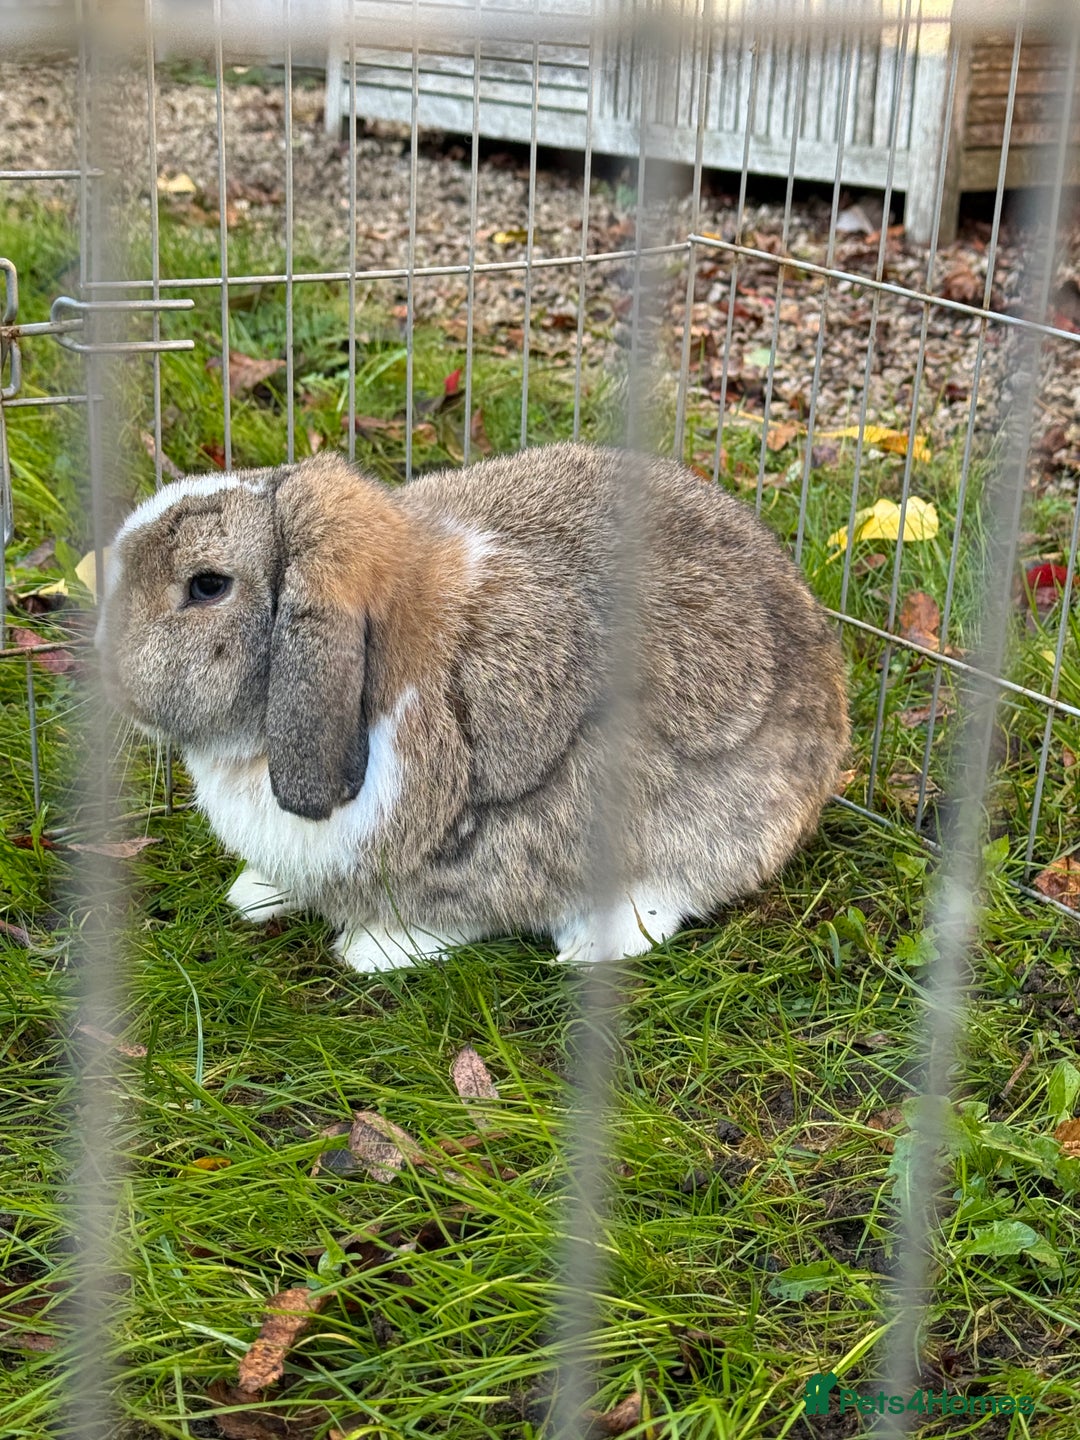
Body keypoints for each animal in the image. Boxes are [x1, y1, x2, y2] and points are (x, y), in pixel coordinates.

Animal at [96, 443, 849, 972]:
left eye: (208, 585)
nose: (106, 666)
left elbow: (461, 908)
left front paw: (375, 951)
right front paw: (254, 894)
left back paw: (592, 945)